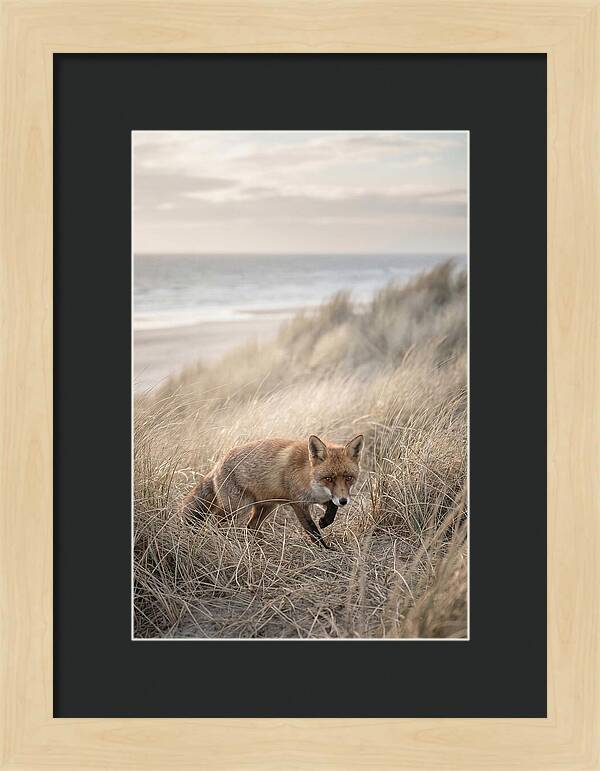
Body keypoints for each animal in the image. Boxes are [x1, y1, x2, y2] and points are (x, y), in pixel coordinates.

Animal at [181, 434, 364, 548]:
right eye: (329, 479)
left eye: (348, 478)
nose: (344, 501)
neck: (309, 477)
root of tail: (217, 463)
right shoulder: (298, 503)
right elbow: (312, 530)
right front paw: (325, 549)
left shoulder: (324, 498)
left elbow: (332, 509)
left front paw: (325, 521)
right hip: (238, 508)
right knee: (216, 521)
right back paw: (224, 541)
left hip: (266, 506)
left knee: (251, 526)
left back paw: (261, 544)